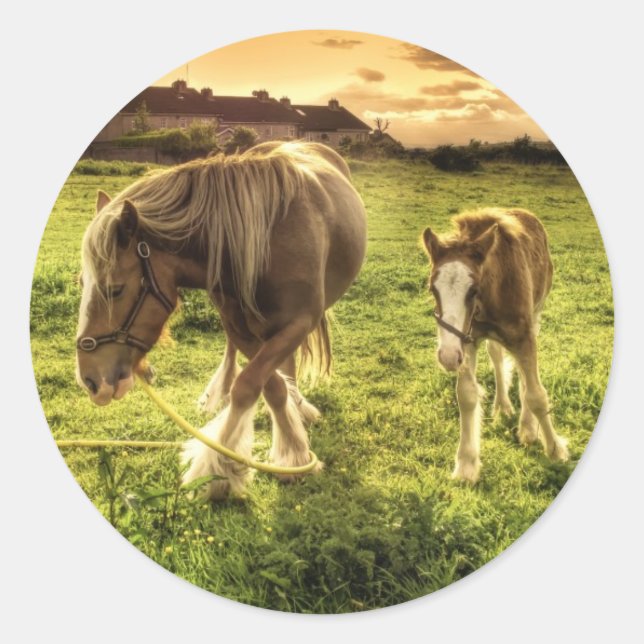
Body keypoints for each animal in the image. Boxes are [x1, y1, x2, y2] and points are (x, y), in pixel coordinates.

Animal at [76, 141, 367, 499]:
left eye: (114, 289)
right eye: (82, 283)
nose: (90, 379)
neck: (267, 239)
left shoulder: (298, 323)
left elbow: (251, 386)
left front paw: (220, 470)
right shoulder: (240, 329)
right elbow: (267, 386)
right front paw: (288, 451)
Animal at [422, 208, 569, 484]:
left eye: (473, 290)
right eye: (432, 288)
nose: (447, 357)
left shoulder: (523, 337)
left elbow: (536, 394)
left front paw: (555, 450)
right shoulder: (466, 339)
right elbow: (467, 395)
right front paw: (466, 464)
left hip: (536, 315)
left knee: (523, 374)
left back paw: (527, 427)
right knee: (496, 355)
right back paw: (502, 406)